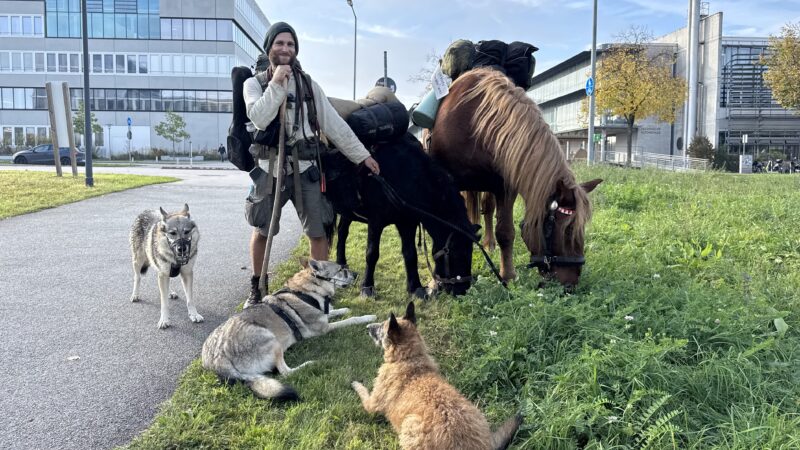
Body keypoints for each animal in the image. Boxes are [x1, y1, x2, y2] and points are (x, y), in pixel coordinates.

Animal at [200, 260, 376, 400]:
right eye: (341, 269)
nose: (357, 274)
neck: (307, 291)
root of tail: (218, 360)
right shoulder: (325, 328)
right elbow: (352, 319)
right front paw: (368, 317)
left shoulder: (324, 316)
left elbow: (335, 311)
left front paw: (345, 309)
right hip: (272, 339)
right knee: (286, 372)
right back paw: (309, 364)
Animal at [324, 134, 478, 298]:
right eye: (457, 253)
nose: (462, 290)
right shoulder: (375, 222)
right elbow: (372, 254)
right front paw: (367, 287)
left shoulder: (407, 222)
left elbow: (410, 254)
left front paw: (416, 288)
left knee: (342, 232)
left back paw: (342, 265)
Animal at [354, 302, 520, 450]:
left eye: (382, 327)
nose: (367, 327)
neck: (409, 357)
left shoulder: (371, 404)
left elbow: (362, 390)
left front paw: (356, 383)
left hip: (409, 425)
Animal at [432, 68, 600, 288]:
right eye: (569, 230)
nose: (571, 283)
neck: (473, 125)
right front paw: (435, 281)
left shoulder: (505, 187)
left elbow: (505, 232)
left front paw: (508, 276)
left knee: (487, 209)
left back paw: (489, 243)